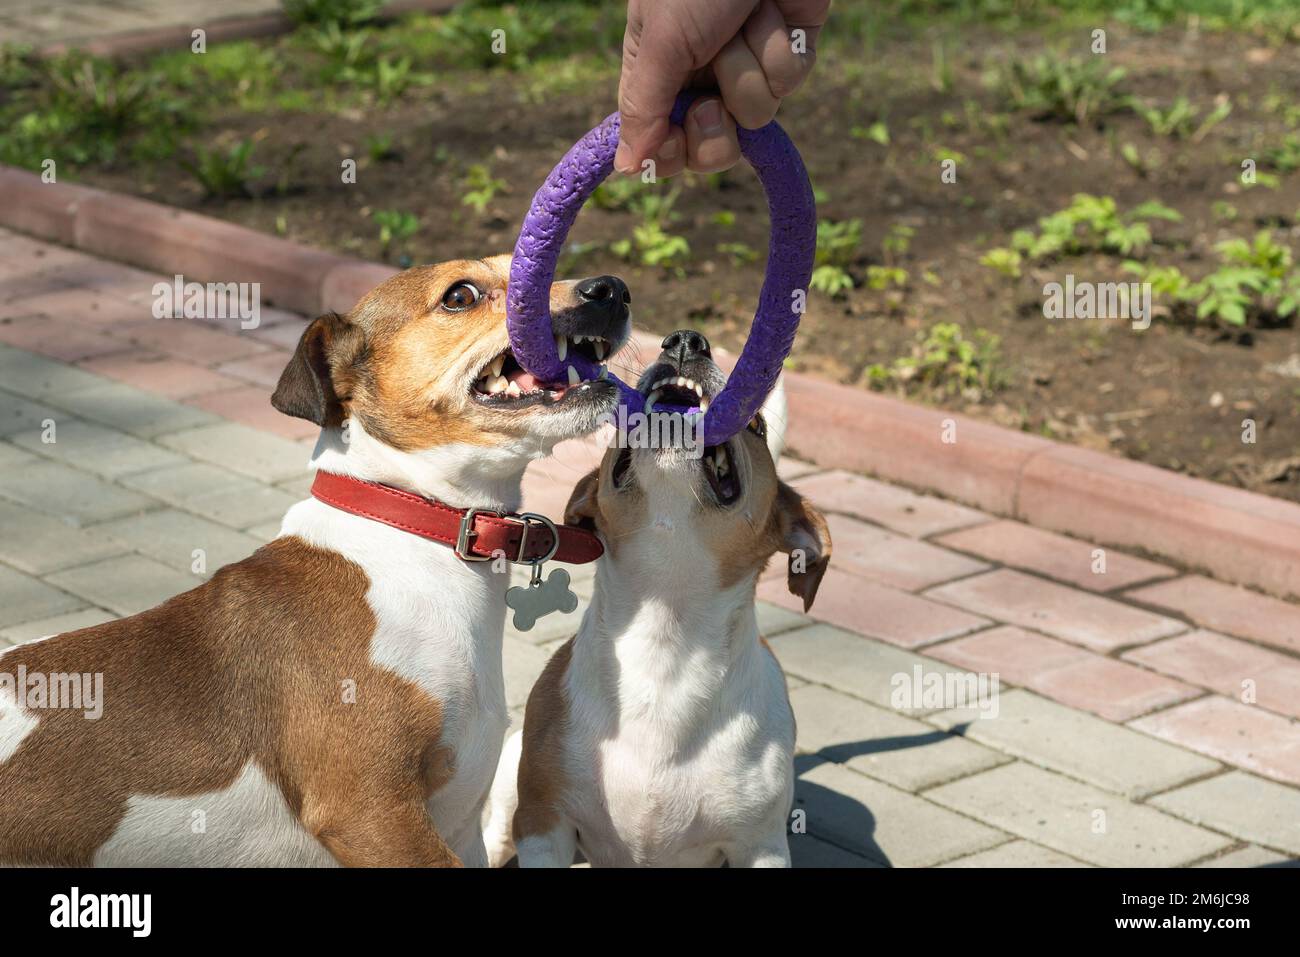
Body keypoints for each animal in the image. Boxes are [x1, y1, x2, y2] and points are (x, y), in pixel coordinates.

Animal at [483, 332, 826, 868]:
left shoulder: (760, 846)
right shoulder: (544, 822)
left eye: (757, 425)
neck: (665, 627)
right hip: (507, 794)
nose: (687, 340)